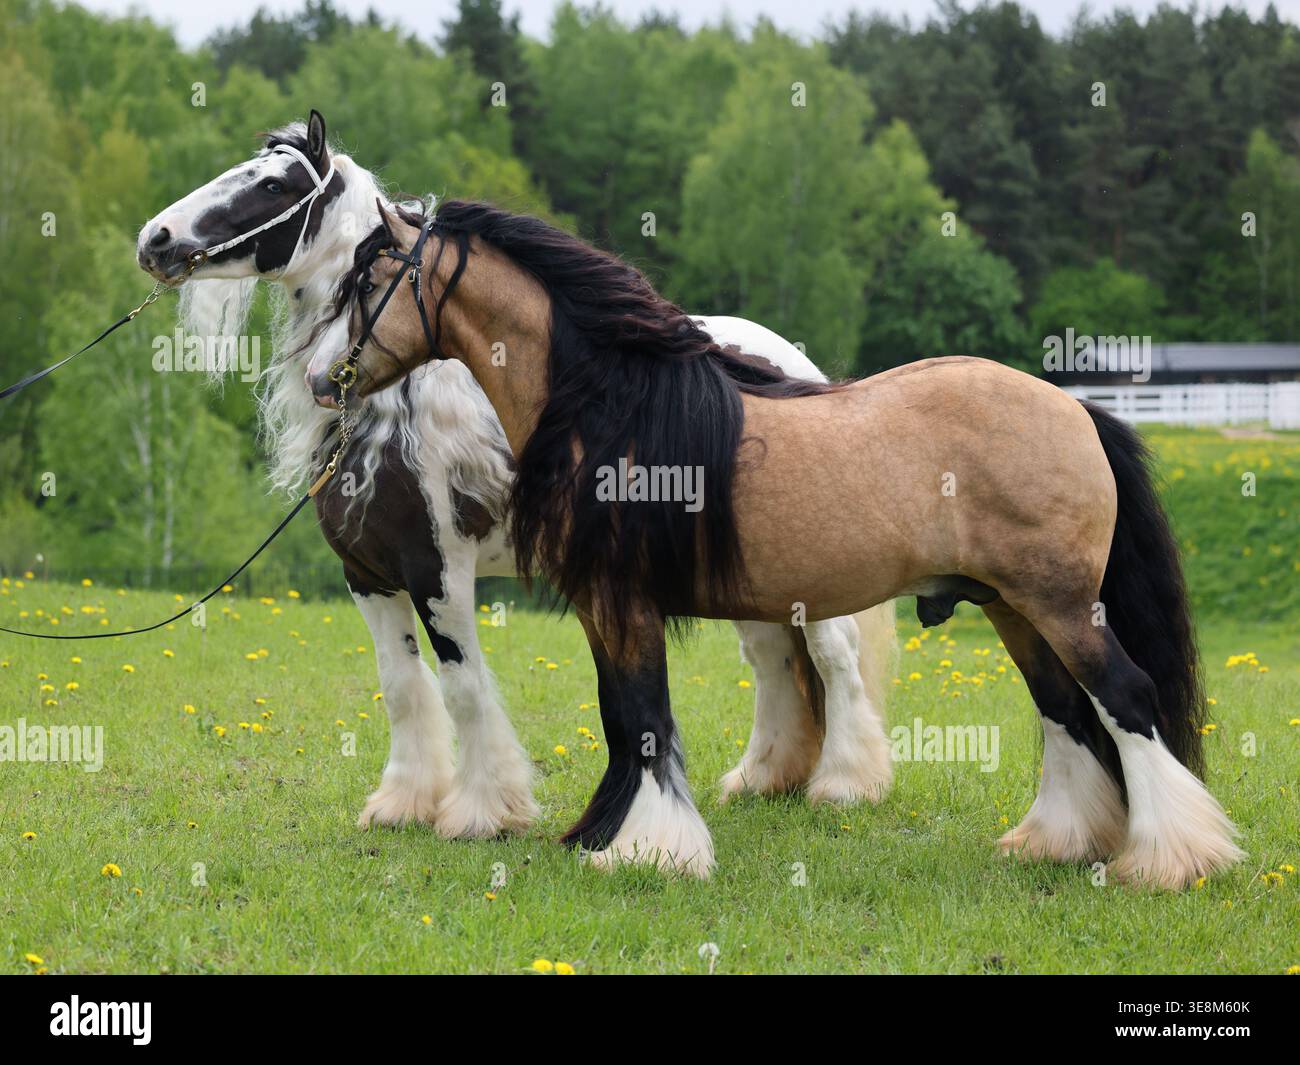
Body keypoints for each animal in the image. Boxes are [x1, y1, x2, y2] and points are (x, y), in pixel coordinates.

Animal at [136, 111, 897, 841]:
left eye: (271, 184)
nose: (156, 238)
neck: (393, 403)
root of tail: (792, 362)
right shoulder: (368, 575)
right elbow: (402, 687)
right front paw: (404, 804)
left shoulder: (439, 570)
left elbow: (464, 687)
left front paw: (482, 813)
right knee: (771, 658)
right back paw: (763, 777)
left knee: (832, 656)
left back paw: (844, 784)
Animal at [308, 199, 1245, 889]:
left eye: (367, 283)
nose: (323, 379)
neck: (610, 405)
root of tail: (1075, 408)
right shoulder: (601, 606)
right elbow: (621, 718)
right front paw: (605, 835)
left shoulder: (622, 599)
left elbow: (642, 717)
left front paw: (655, 849)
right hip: (1015, 609)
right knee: (1066, 713)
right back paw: (1059, 840)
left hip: (1059, 605)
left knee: (1124, 697)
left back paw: (1171, 857)